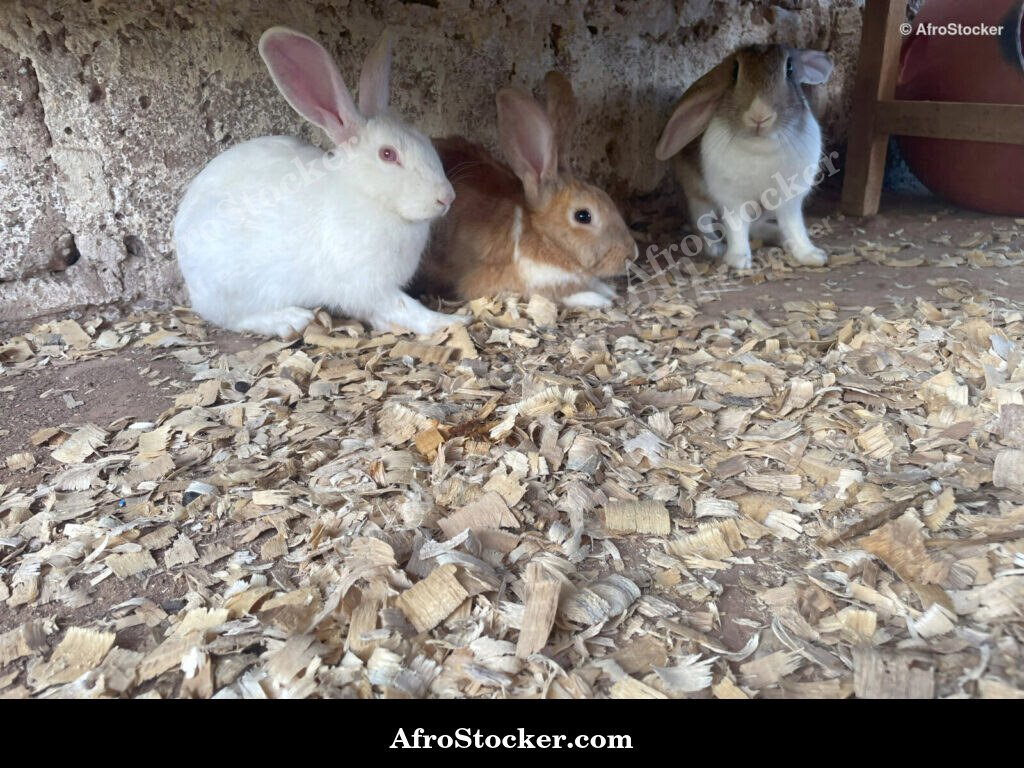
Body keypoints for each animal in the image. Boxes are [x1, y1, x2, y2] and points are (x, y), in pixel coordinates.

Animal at [173, 27, 463, 340]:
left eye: (426, 141)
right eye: (388, 154)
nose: (447, 198)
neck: (368, 197)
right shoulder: (368, 286)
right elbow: (405, 308)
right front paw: (451, 321)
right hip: (232, 286)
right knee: (232, 318)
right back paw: (289, 320)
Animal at [415, 72, 637, 308]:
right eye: (583, 216)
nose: (632, 255)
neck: (545, 238)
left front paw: (607, 291)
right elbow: (562, 294)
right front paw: (599, 299)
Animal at [654, 45, 834, 270]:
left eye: (790, 69)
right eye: (735, 71)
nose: (759, 116)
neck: (760, 147)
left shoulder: (789, 200)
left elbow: (794, 226)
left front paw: (811, 255)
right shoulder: (732, 199)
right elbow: (736, 226)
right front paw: (738, 260)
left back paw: (777, 236)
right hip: (697, 195)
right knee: (701, 222)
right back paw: (715, 248)